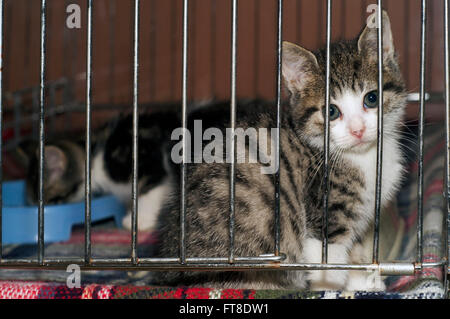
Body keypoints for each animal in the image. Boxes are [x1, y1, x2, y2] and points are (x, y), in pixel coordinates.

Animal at [153, 11, 406, 292]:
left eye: (371, 98)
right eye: (331, 111)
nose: (358, 130)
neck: (362, 157)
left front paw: (363, 280)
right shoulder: (322, 211)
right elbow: (327, 261)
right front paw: (329, 289)